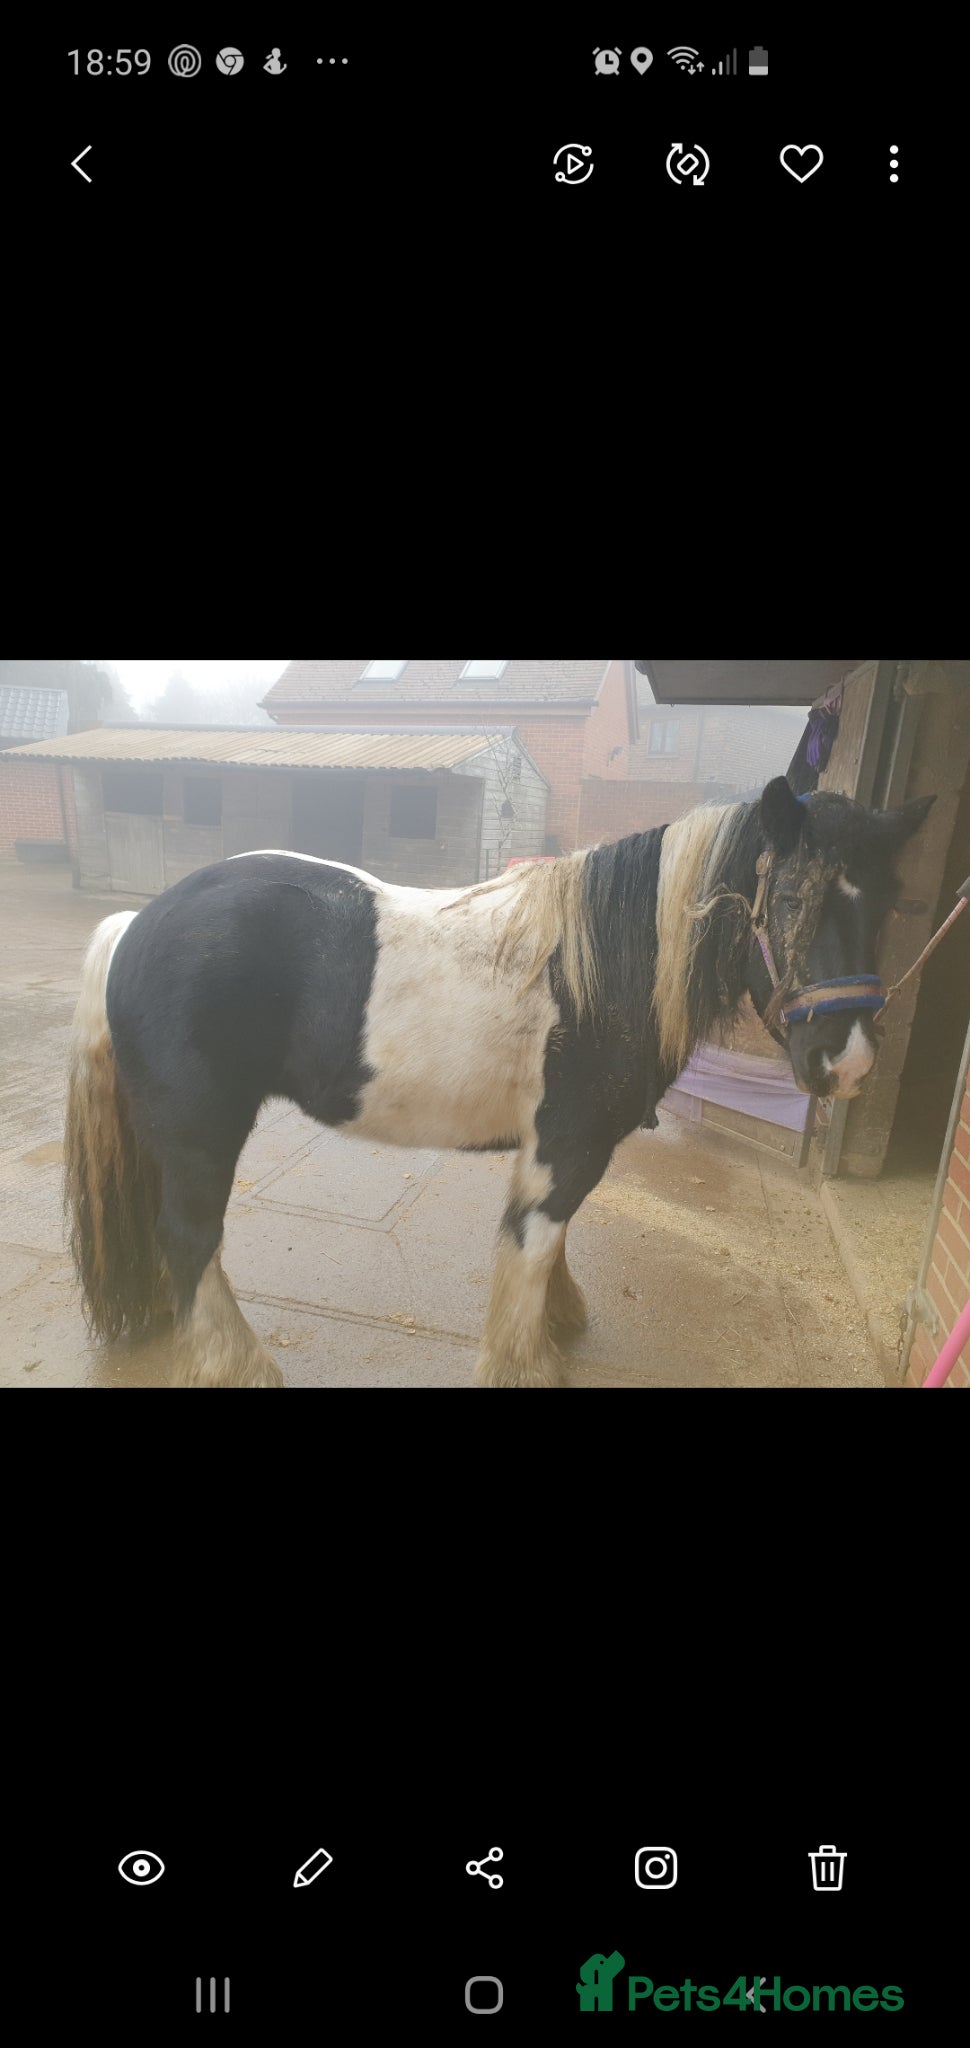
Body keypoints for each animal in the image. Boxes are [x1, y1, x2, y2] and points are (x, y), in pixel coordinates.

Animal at [63, 775, 933, 1388]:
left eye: (890, 904)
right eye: (788, 900)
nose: (849, 1060)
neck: (597, 970)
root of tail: (136, 925)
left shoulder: (559, 1147)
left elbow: (549, 1240)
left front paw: (557, 1318)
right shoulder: (568, 1145)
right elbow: (533, 1242)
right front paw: (525, 1360)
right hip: (201, 1134)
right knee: (190, 1239)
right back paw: (237, 1365)